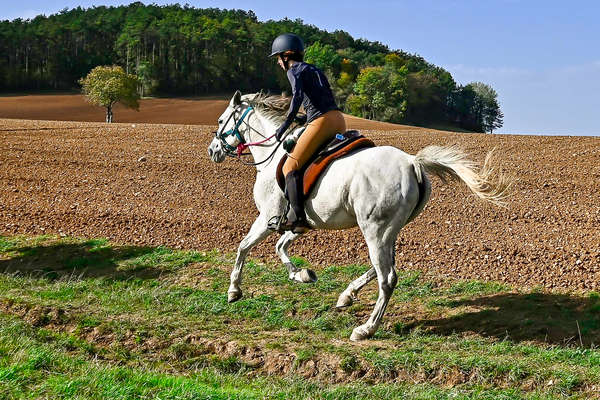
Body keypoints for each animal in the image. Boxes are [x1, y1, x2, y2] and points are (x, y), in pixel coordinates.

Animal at [209, 91, 508, 340]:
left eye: (221, 120)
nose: (212, 151)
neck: (272, 157)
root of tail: (412, 162)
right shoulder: (297, 224)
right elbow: (280, 247)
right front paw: (302, 274)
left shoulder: (268, 219)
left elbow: (243, 247)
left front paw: (234, 291)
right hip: (388, 230)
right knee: (383, 266)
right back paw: (347, 295)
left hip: (375, 229)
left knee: (387, 277)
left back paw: (366, 328)